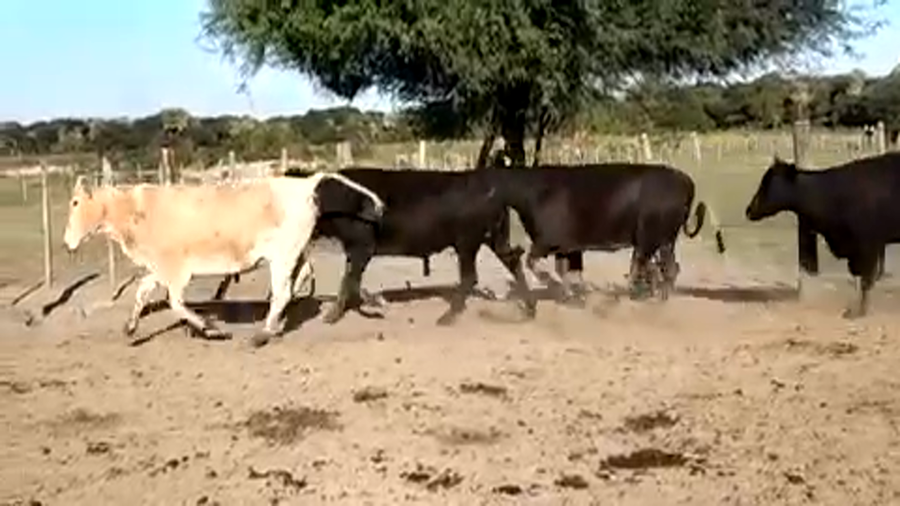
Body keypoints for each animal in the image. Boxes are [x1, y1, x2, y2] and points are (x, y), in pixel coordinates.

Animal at [62, 172, 385, 347]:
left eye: (75, 202)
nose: (67, 242)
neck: (135, 210)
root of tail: (306, 184)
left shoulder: (176, 269)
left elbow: (175, 303)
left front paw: (211, 328)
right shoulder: (160, 267)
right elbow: (143, 291)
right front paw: (130, 328)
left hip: (283, 255)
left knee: (283, 291)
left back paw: (262, 333)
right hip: (295, 251)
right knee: (300, 278)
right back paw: (277, 323)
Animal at [217, 167, 534, 326]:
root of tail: (493, 190)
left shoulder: (361, 246)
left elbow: (348, 280)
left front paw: (334, 315)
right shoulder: (355, 250)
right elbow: (352, 279)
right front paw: (367, 302)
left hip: (467, 242)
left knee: (470, 277)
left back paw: (447, 318)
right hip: (492, 238)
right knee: (513, 261)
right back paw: (528, 310)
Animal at [483, 162, 727, 304]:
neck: (534, 193)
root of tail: (685, 181)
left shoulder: (547, 242)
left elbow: (535, 262)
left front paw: (560, 289)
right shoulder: (567, 247)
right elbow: (566, 271)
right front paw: (572, 295)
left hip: (649, 238)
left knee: (647, 266)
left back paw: (638, 296)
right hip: (664, 240)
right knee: (667, 268)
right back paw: (656, 297)